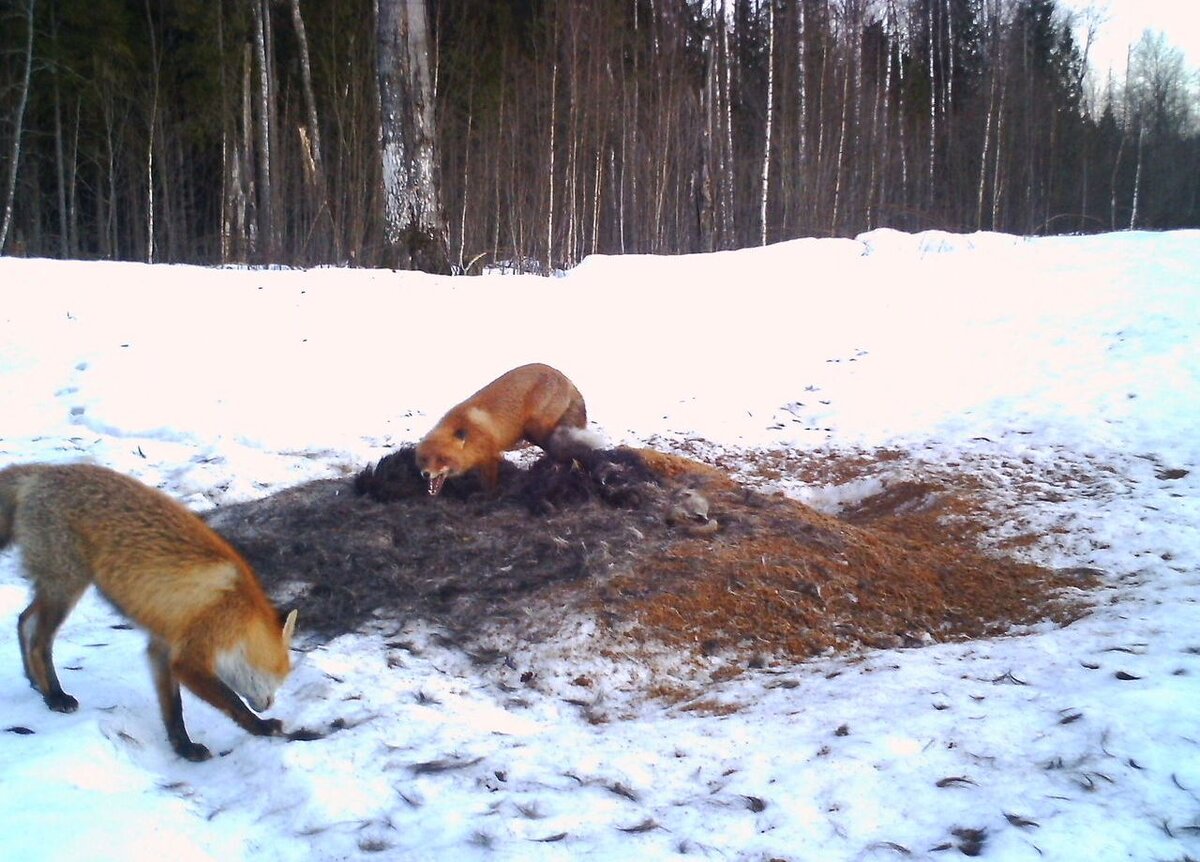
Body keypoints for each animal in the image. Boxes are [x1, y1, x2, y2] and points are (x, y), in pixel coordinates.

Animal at [0, 465, 297, 763]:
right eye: (279, 677)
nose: (270, 703)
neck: (240, 613)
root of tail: (46, 469)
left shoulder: (162, 646)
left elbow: (173, 708)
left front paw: (183, 747)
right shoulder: (191, 656)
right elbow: (232, 702)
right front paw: (262, 727)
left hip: (57, 587)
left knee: (24, 620)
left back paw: (35, 682)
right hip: (67, 587)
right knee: (39, 642)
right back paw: (55, 696)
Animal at [417, 362, 590, 497]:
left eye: (442, 459)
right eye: (424, 459)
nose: (425, 474)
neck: (471, 433)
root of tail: (565, 378)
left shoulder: (490, 457)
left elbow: (489, 485)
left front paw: (488, 499)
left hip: (535, 429)